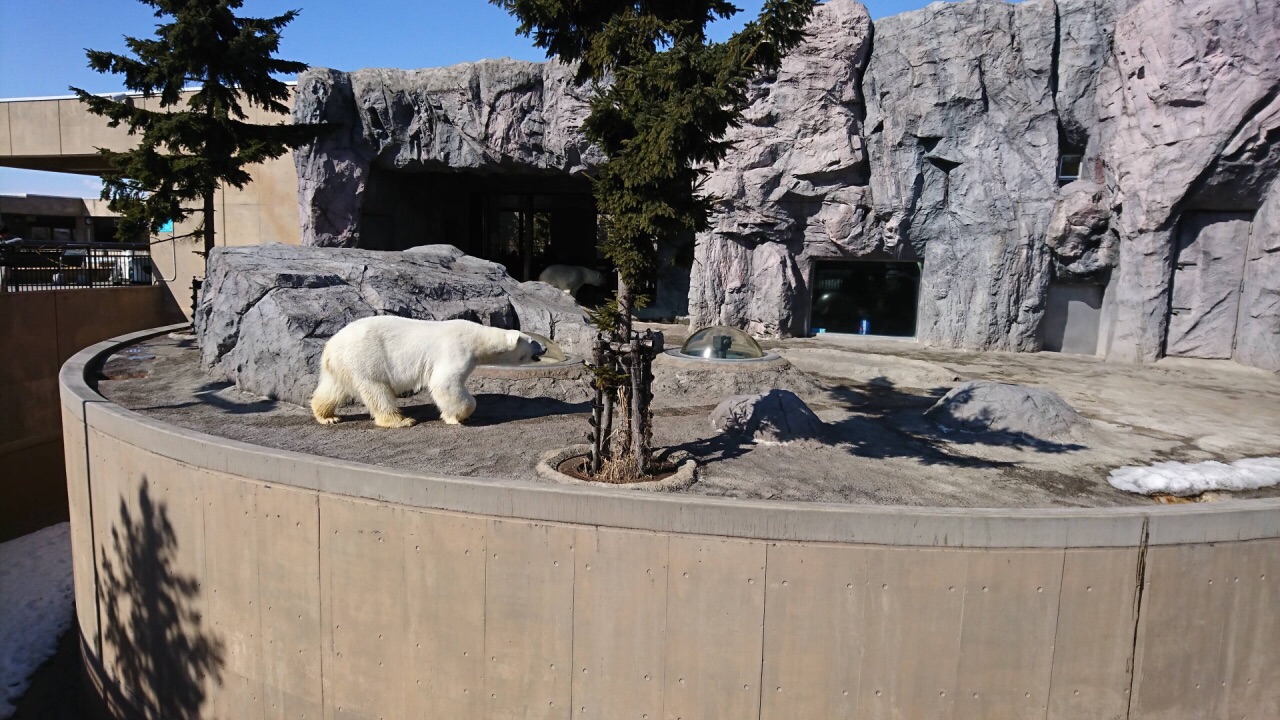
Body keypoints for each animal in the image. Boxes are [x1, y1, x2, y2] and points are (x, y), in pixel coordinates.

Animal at [316, 315, 550, 425]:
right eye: (532, 341)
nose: (545, 347)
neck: (477, 338)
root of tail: (330, 347)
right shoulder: (456, 349)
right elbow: (444, 383)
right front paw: (460, 416)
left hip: (344, 364)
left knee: (333, 388)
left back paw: (327, 416)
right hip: (366, 357)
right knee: (377, 390)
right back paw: (401, 421)